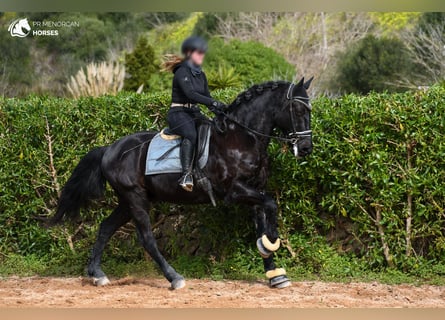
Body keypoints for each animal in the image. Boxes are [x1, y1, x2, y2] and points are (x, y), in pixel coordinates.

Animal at [51, 77, 312, 290]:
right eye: (298, 109)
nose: (306, 148)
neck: (242, 138)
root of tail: (109, 149)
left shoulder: (254, 190)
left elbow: (263, 218)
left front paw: (274, 272)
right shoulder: (235, 191)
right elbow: (271, 205)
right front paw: (272, 242)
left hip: (128, 200)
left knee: (105, 227)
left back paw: (97, 274)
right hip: (135, 198)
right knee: (147, 239)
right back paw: (174, 278)